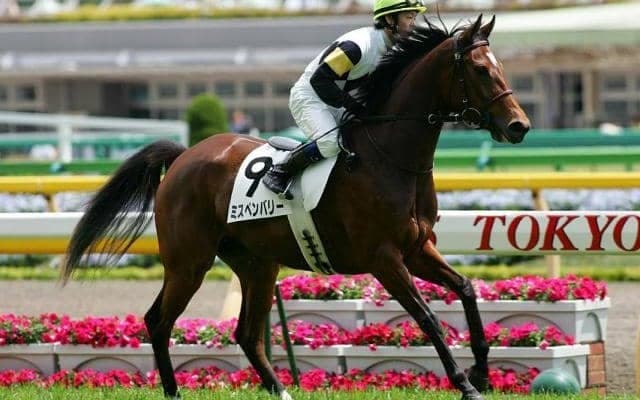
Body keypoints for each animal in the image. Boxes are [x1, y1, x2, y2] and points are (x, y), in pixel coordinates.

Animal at [61, 15, 529, 400]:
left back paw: (281, 390)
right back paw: (174, 392)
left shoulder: (417, 249)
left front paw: (482, 371)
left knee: (246, 333)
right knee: (158, 321)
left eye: (502, 67)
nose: (519, 126)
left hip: (256, 264)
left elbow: (466, 289)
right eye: (481, 70)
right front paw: (466, 384)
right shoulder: (384, 258)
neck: (391, 157)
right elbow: (428, 316)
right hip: (187, 262)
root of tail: (182, 157)